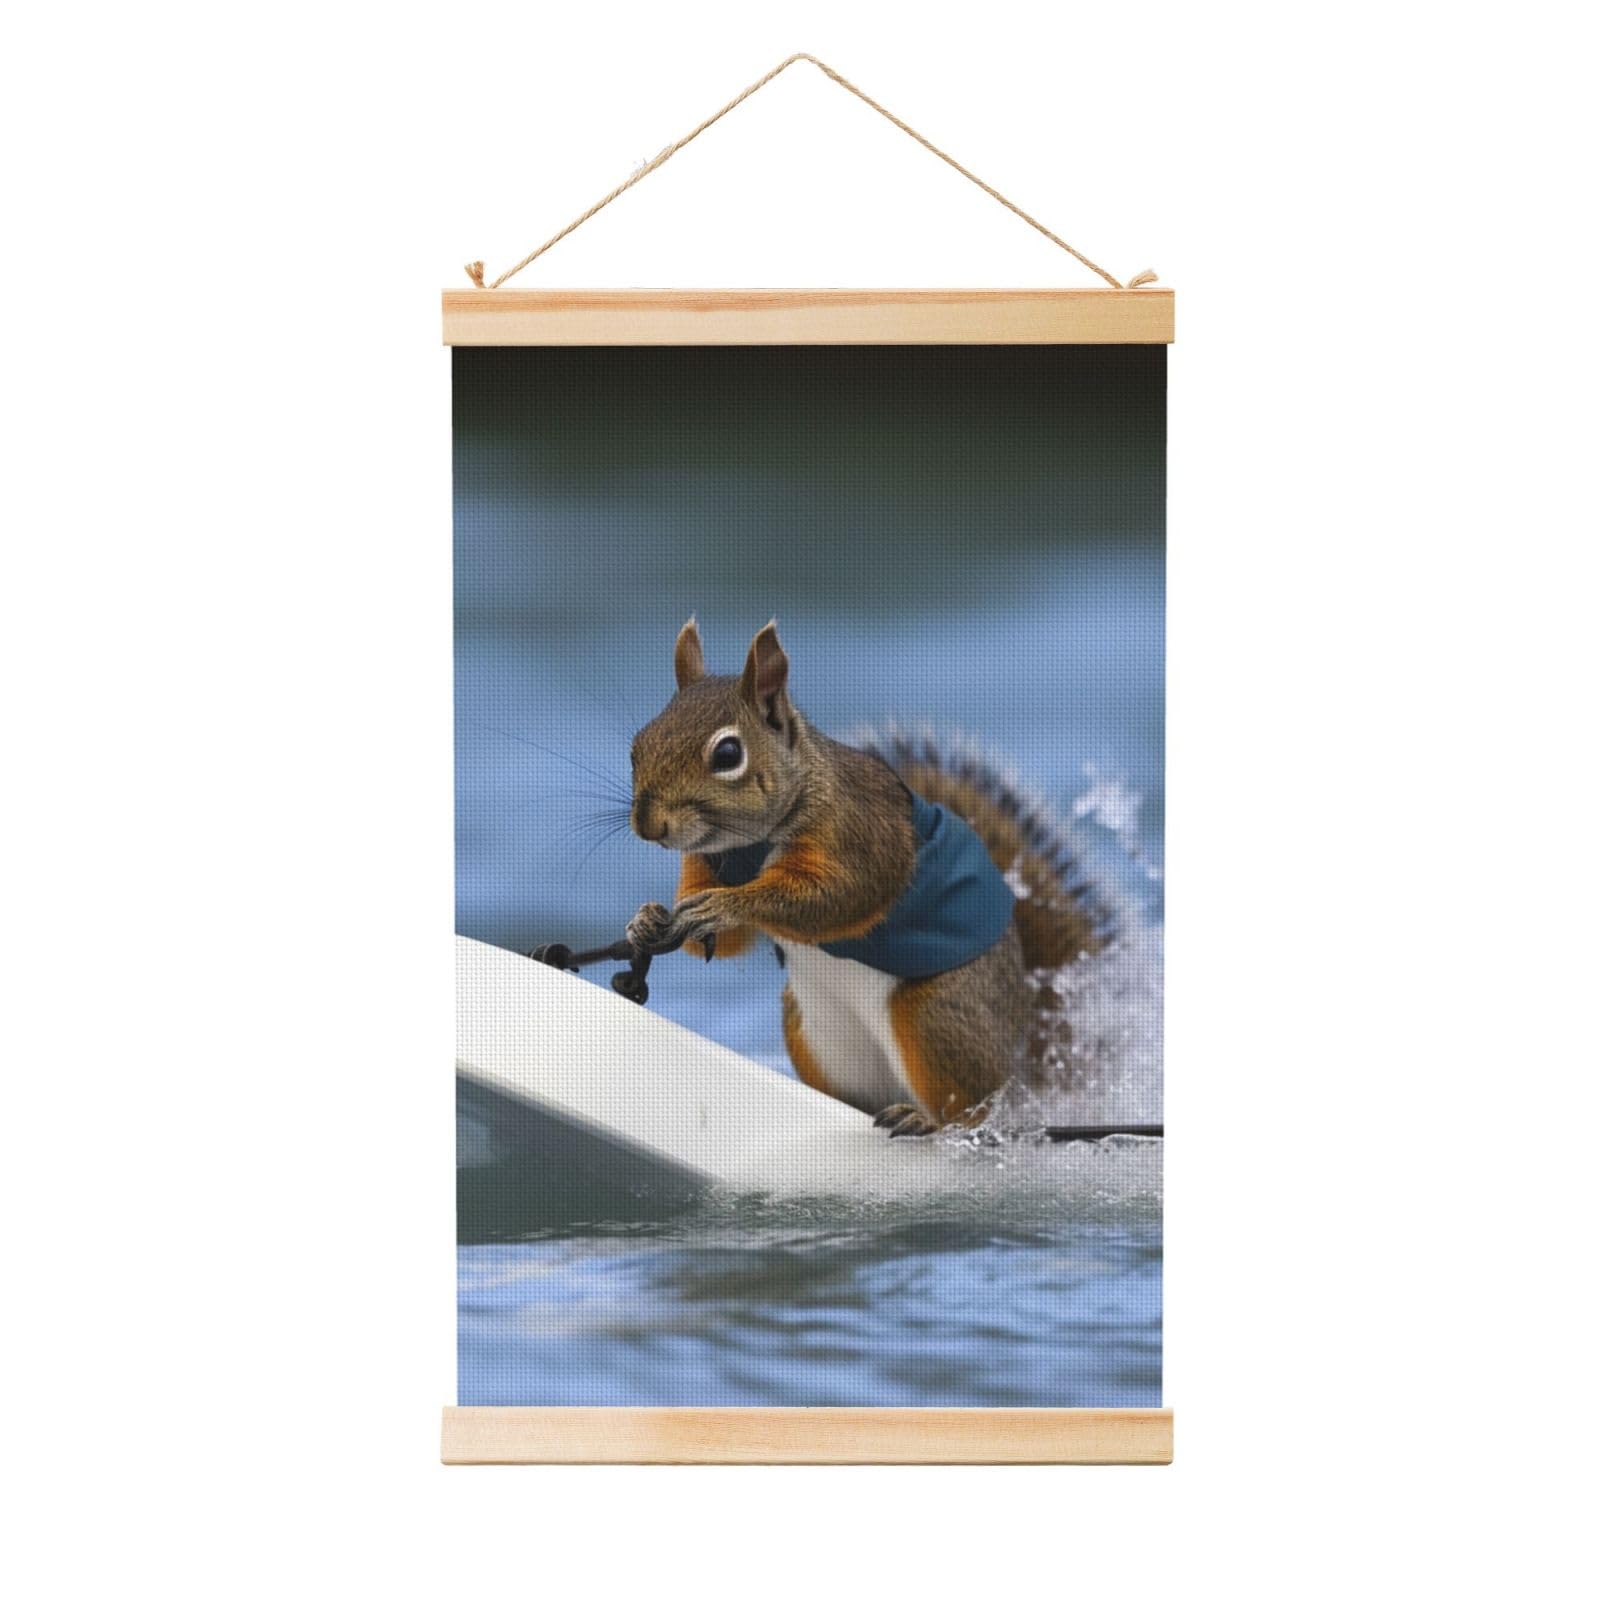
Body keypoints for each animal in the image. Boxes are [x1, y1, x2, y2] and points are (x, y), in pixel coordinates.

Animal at [625, 619, 1114, 1136]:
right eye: (638, 745)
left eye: (728, 753)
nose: (649, 825)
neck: (747, 846)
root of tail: (1025, 1072)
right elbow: (728, 942)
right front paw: (647, 918)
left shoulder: (863, 834)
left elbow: (836, 898)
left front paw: (722, 905)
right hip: (811, 1031)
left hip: (938, 1014)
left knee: (975, 1109)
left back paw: (929, 1120)